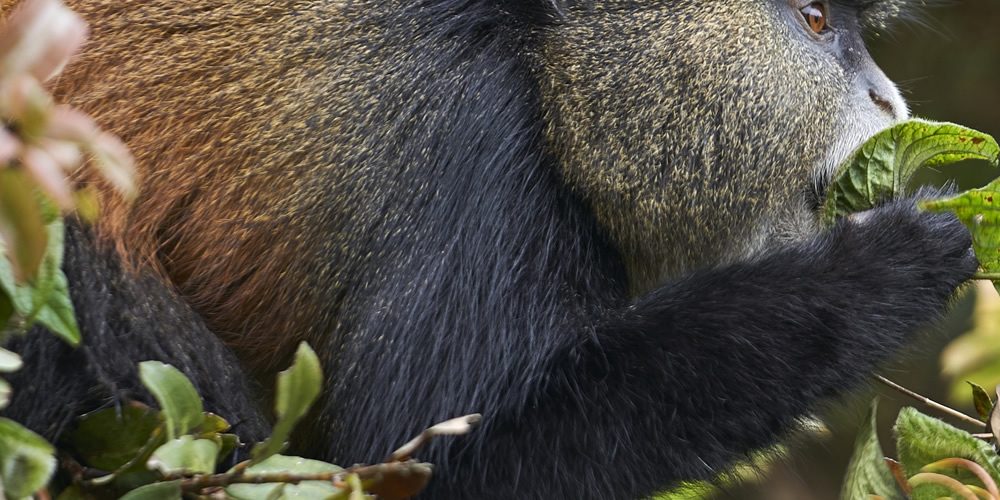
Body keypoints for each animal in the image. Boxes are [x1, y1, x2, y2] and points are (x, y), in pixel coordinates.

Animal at [0, 0, 978, 498]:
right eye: (813, 20)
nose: (889, 101)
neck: (538, 46)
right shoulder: (474, 134)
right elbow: (446, 454)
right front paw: (890, 265)